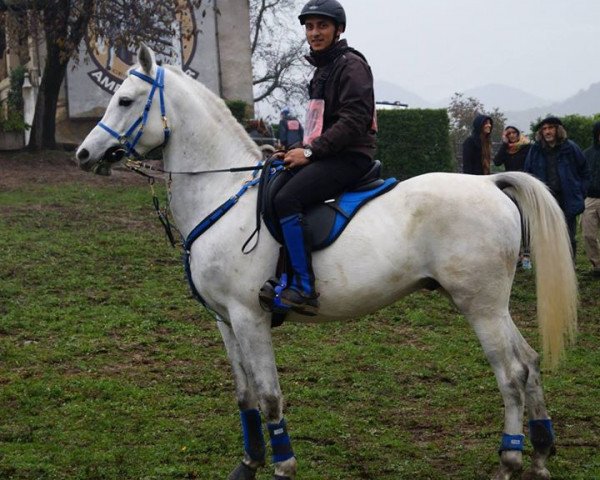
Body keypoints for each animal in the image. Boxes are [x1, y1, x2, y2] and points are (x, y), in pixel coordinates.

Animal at [75, 46, 576, 480]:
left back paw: (510, 462)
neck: (223, 195)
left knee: (511, 374)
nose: (84, 154)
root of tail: (490, 182)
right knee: (529, 363)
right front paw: (248, 464)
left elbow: (269, 397)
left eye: (125, 100)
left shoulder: (249, 316)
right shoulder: (224, 319)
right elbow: (244, 397)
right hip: (491, 305)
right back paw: (540, 455)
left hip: (481, 306)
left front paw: (282, 467)